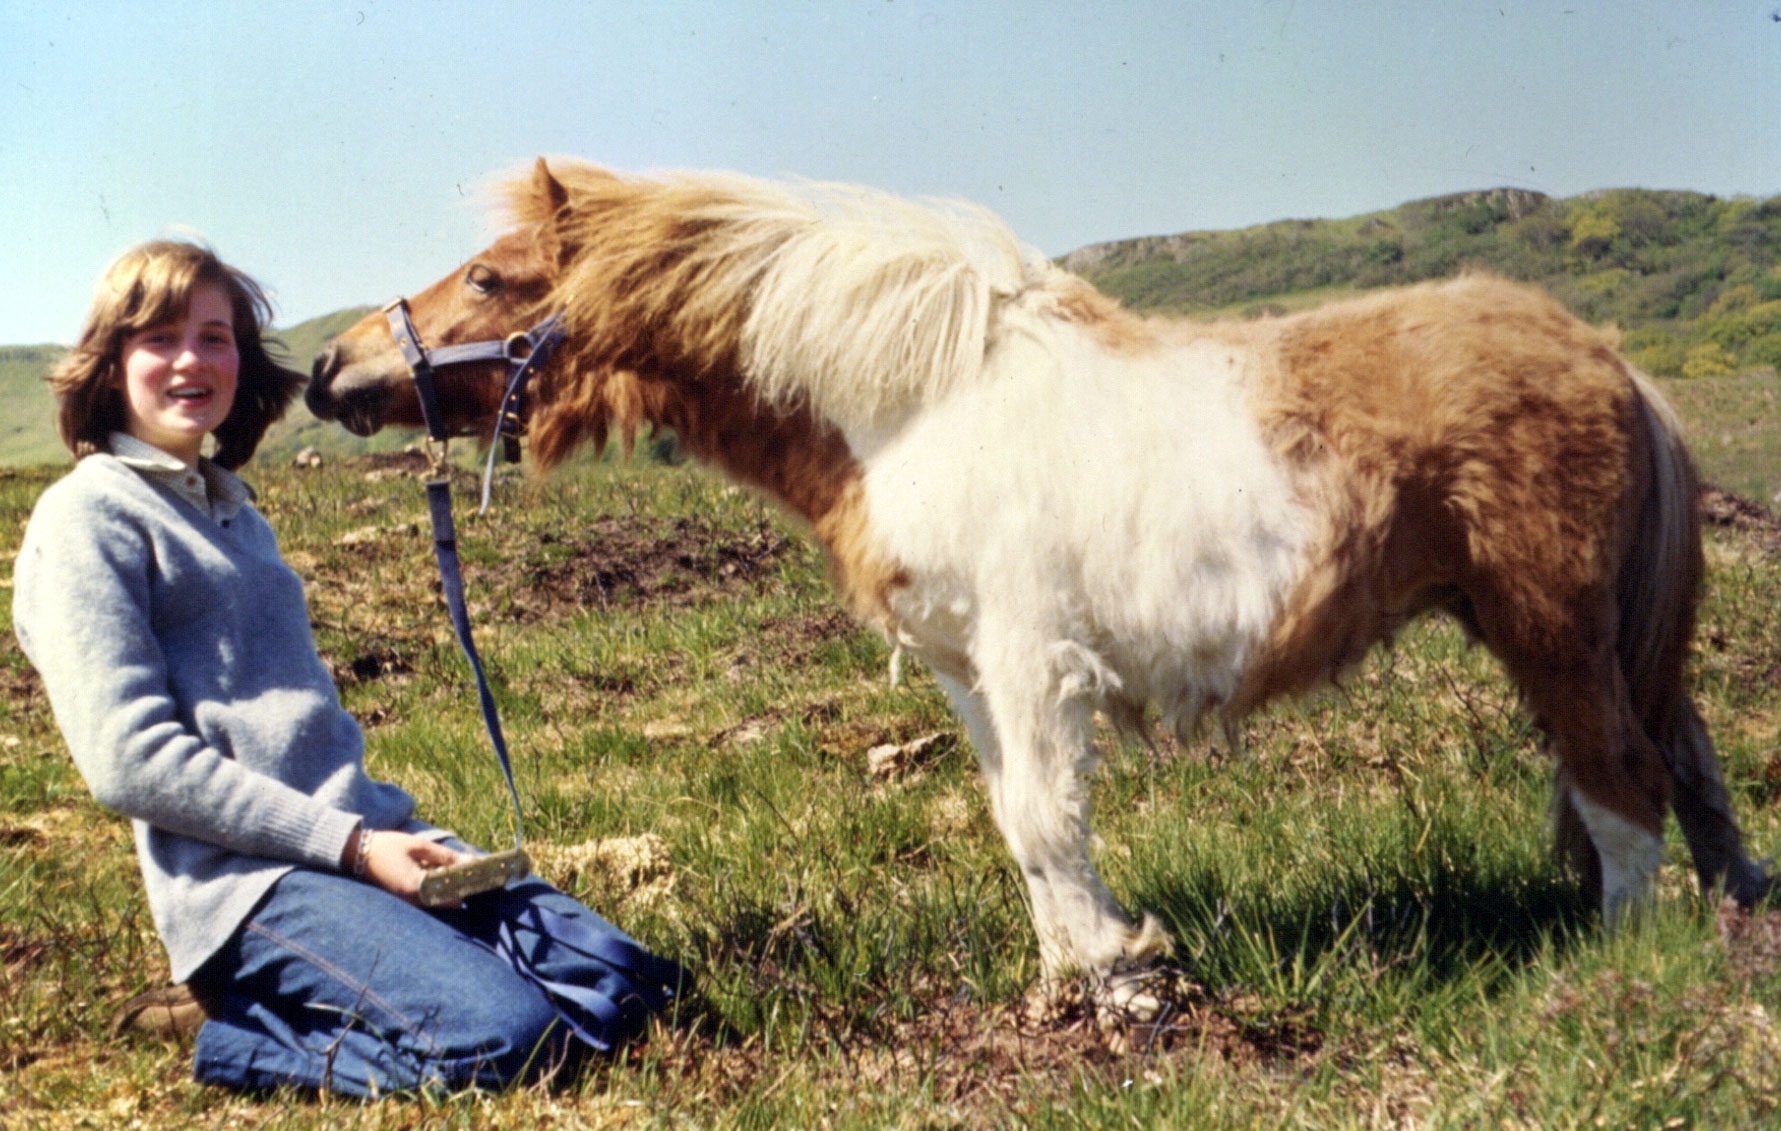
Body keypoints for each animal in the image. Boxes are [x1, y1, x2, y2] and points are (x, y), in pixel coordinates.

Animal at [308, 157, 1768, 1010]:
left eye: (494, 276)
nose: (330, 370)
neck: (919, 403)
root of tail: (1605, 354)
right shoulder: (970, 671)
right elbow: (1017, 818)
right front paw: (1077, 970)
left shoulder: (1030, 657)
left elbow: (1050, 817)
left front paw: (1116, 983)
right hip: (1608, 641)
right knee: (1689, 770)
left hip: (1551, 630)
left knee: (1623, 785)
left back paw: (1623, 962)